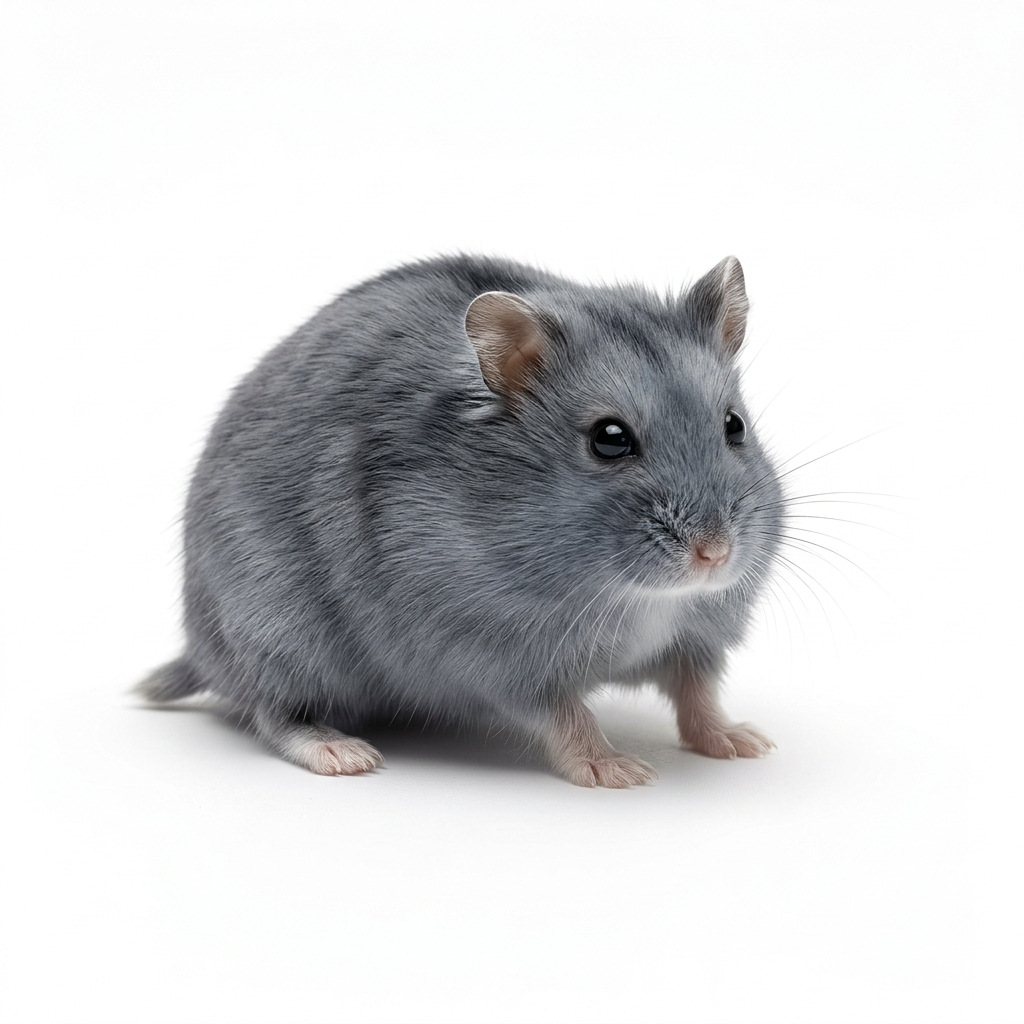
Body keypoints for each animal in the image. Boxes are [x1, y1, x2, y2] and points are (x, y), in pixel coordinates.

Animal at [139, 254, 784, 787]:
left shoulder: (699, 638)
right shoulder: (499, 653)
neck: (642, 597)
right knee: (274, 712)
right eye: (609, 439)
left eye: (734, 425)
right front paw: (619, 772)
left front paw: (746, 744)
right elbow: (567, 714)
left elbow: (698, 694)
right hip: (278, 636)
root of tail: (199, 649)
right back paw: (345, 754)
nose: (715, 554)